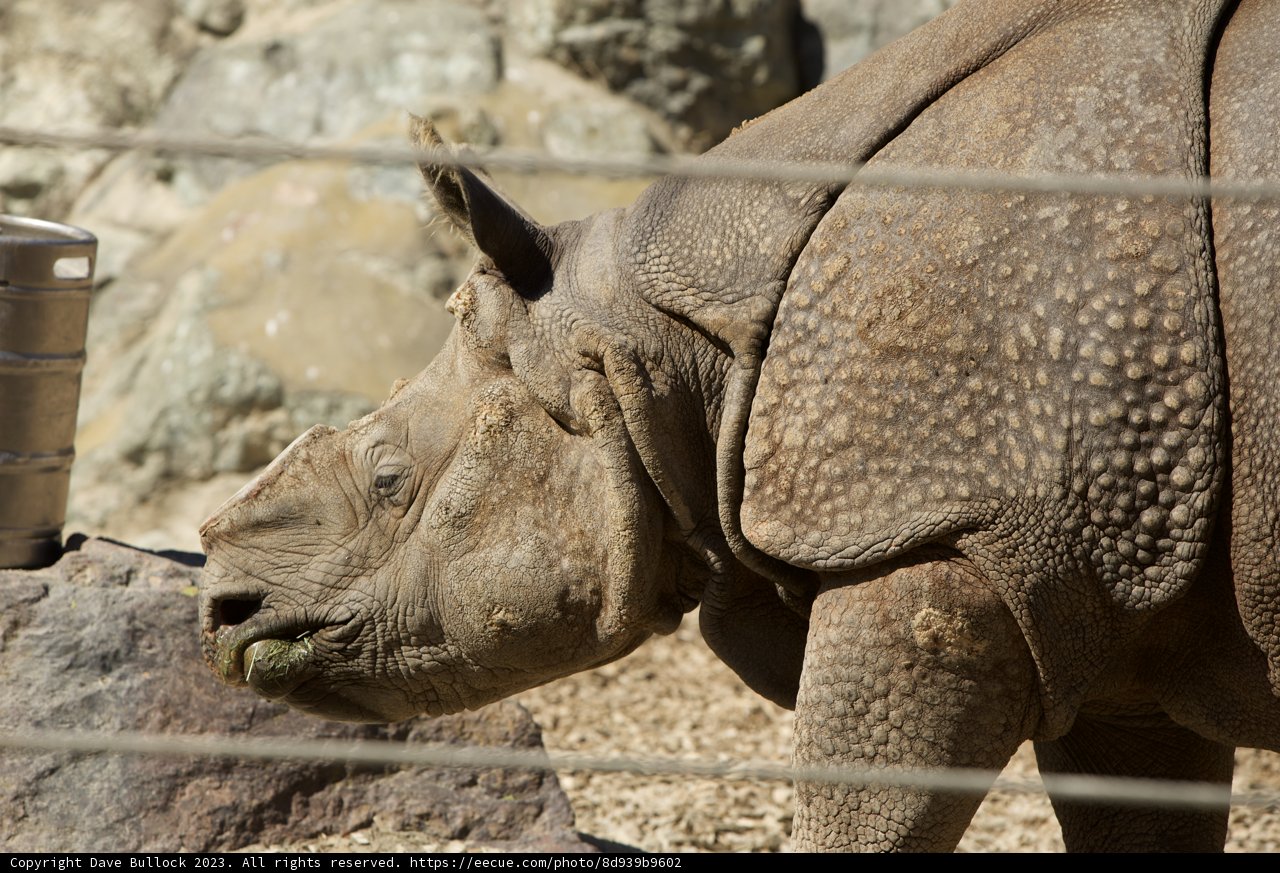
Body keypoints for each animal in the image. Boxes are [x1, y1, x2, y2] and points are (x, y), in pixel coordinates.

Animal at [198, 0, 1280, 852]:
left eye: (389, 478)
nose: (222, 611)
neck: (662, 350)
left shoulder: (952, 526)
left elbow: (866, 810)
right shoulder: (1116, 596)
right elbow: (1134, 813)